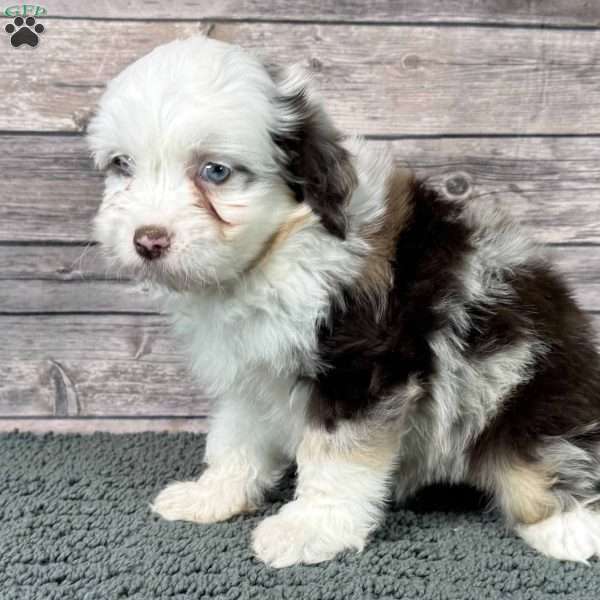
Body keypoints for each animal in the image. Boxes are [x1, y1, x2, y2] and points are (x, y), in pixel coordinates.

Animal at [88, 34, 600, 568]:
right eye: (122, 165)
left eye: (216, 171)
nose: (148, 240)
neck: (274, 254)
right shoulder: (251, 370)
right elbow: (236, 436)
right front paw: (214, 494)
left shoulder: (359, 367)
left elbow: (337, 456)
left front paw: (310, 528)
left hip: (524, 376)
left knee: (543, 448)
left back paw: (569, 526)